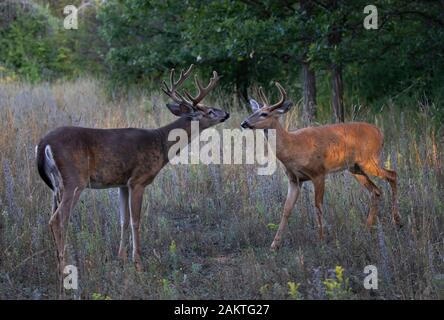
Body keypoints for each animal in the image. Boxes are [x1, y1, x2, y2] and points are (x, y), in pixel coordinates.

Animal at [36, 64, 231, 270]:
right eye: (209, 111)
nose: (226, 114)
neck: (161, 143)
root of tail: (43, 144)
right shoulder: (138, 180)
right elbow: (135, 220)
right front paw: (137, 261)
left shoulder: (123, 183)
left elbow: (123, 220)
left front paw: (121, 256)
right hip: (74, 180)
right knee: (58, 219)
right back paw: (63, 265)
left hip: (56, 186)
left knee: (54, 217)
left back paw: (58, 260)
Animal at [241, 82, 400, 250]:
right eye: (254, 111)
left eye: (264, 114)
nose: (244, 123)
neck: (292, 148)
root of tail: (379, 132)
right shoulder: (294, 180)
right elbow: (286, 209)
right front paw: (274, 244)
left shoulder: (318, 173)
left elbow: (318, 206)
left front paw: (321, 240)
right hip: (355, 168)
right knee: (376, 191)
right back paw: (367, 228)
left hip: (368, 160)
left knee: (392, 174)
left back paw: (397, 221)